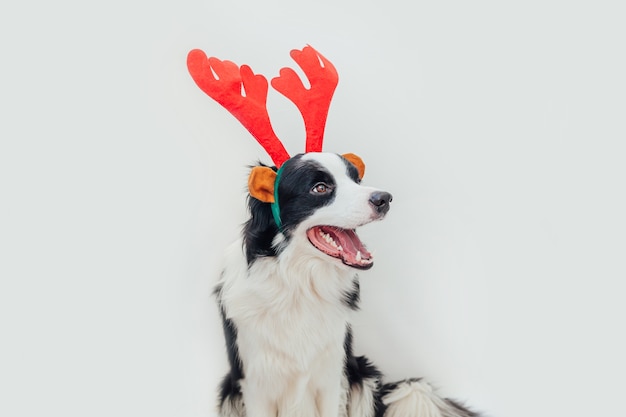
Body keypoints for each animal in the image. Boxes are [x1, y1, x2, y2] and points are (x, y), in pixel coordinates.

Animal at [212, 153, 476, 416]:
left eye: (357, 180)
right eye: (320, 188)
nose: (384, 199)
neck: (298, 284)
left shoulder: (332, 374)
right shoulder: (255, 383)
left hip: (362, 375)